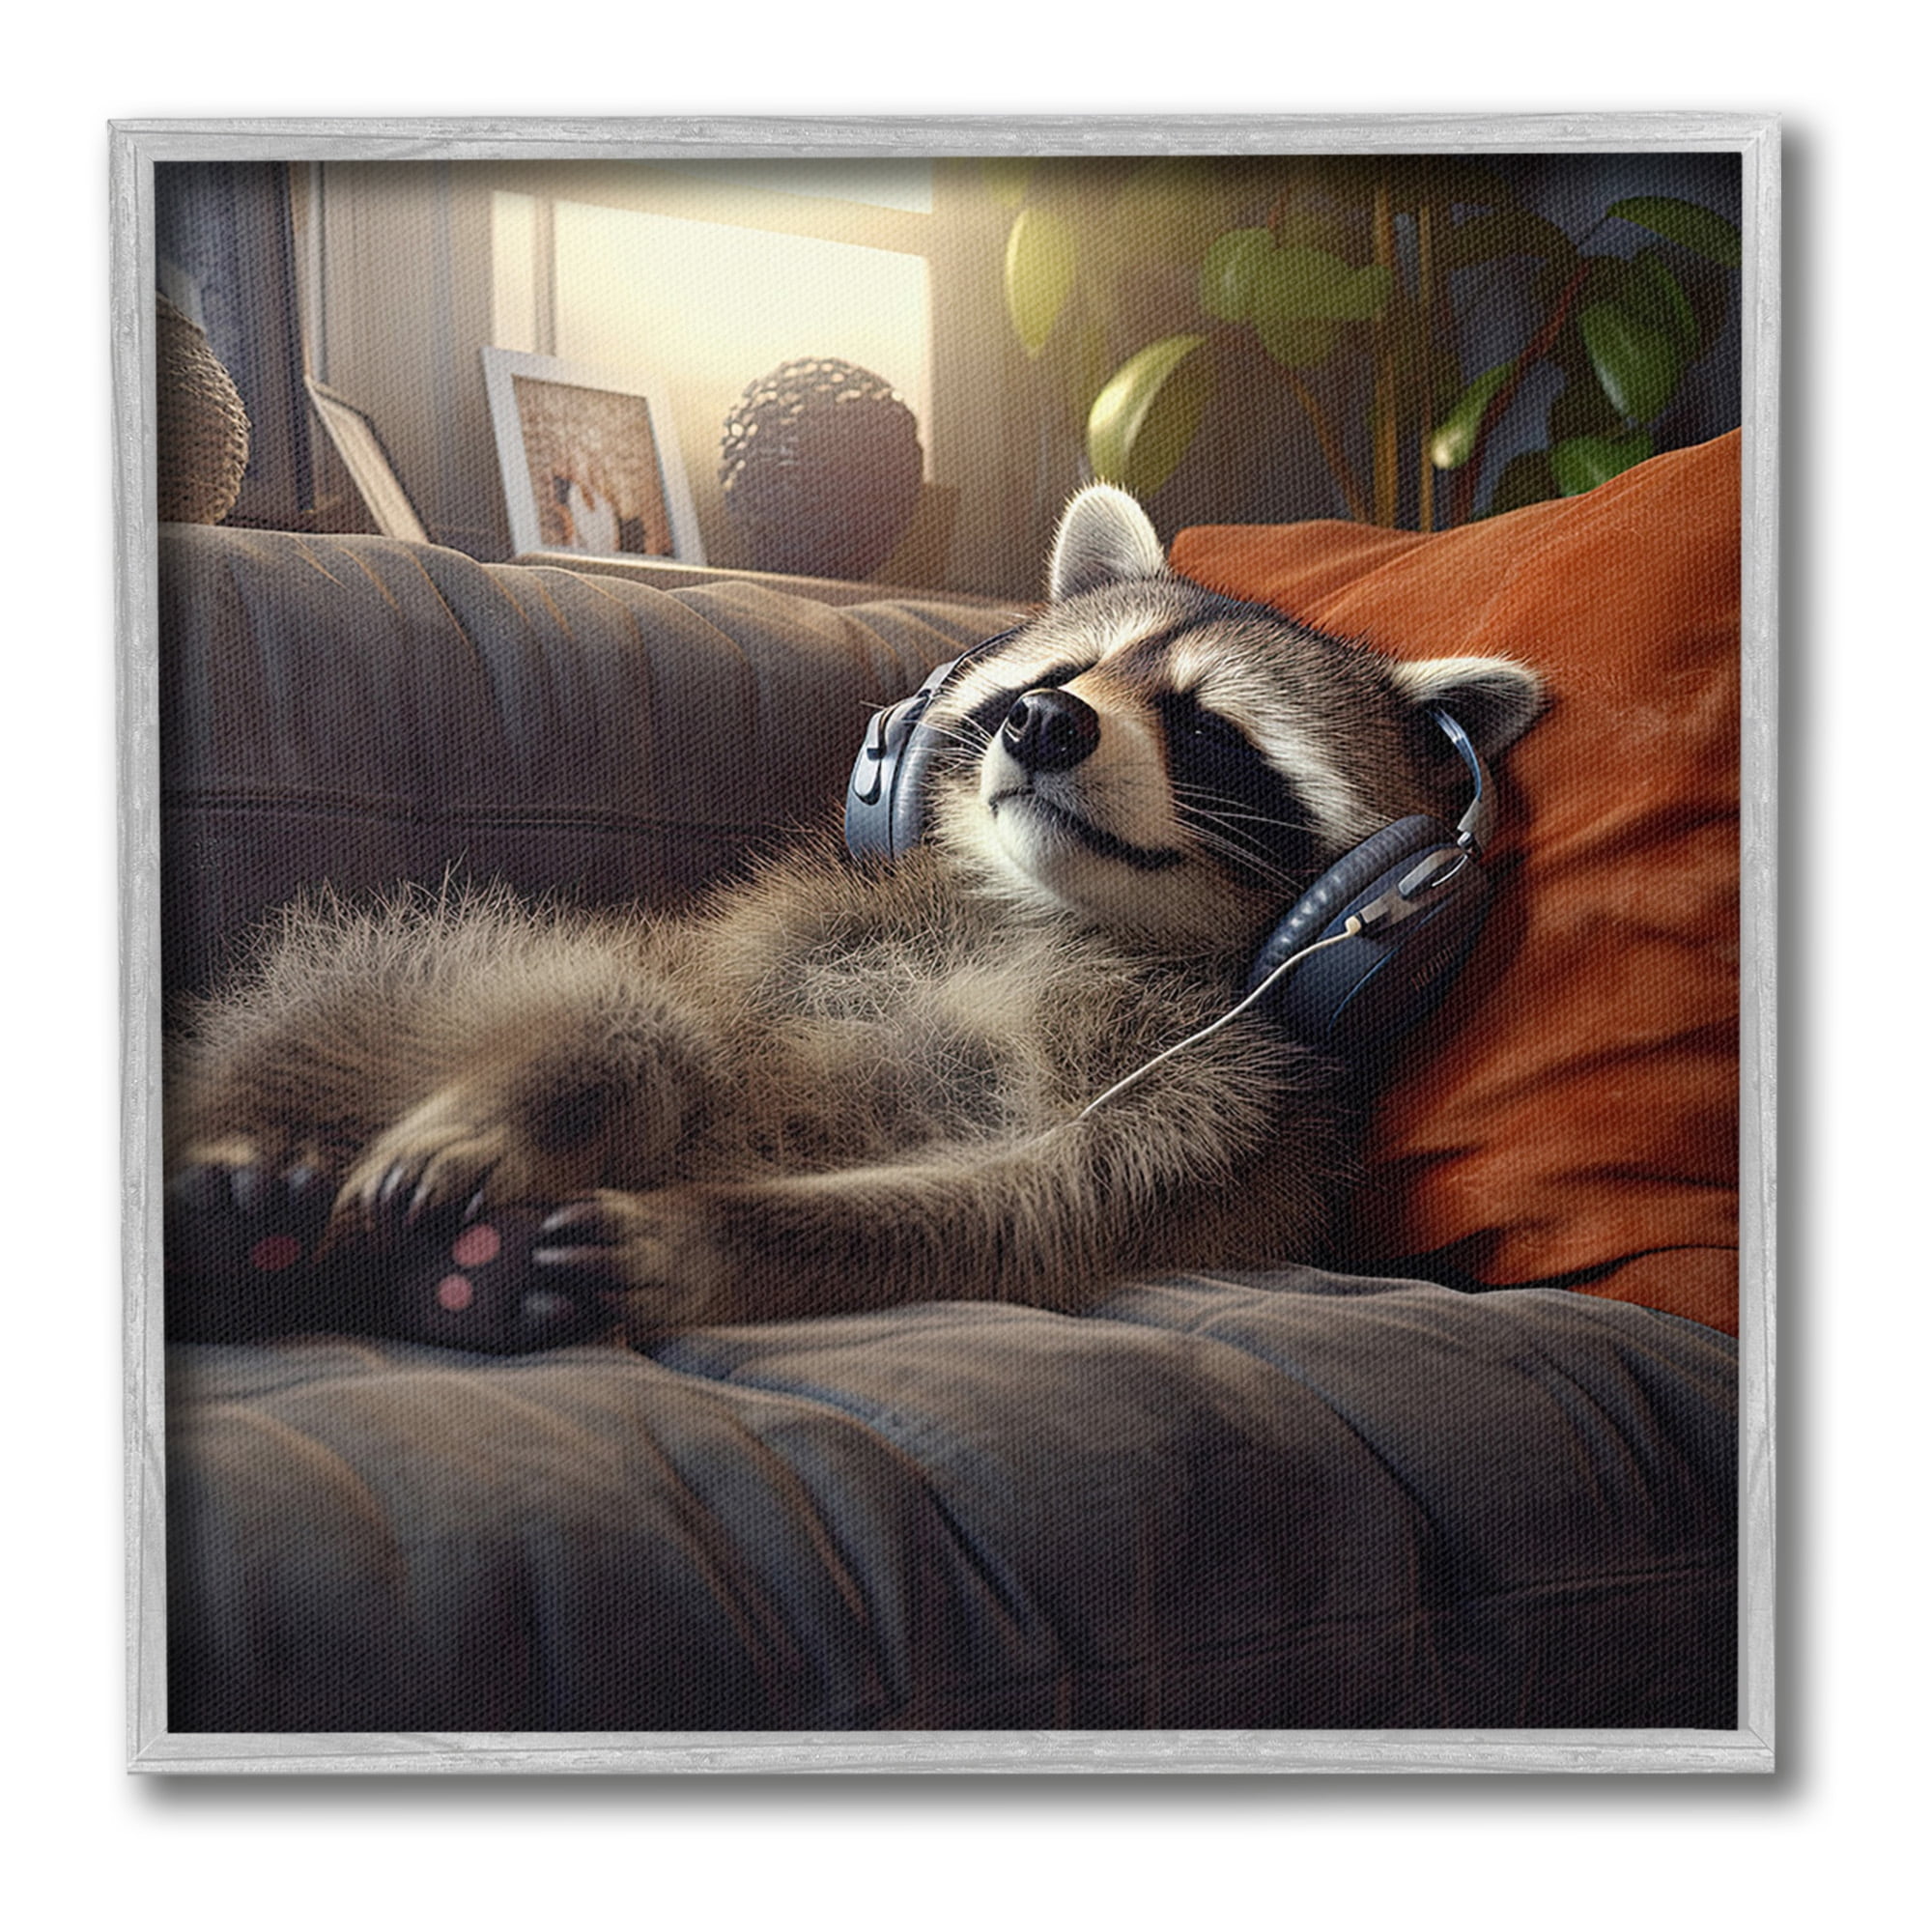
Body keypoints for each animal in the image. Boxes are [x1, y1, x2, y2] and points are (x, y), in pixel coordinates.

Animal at [163, 485, 1543, 1348]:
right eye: (1058, 677)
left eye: (1206, 728)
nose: (1045, 722)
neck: (1055, 913)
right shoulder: (790, 921)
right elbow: (650, 998)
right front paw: (542, 1099)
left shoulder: (1226, 1109)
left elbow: (1031, 1202)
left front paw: (720, 1234)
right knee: (448, 981)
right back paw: (256, 1160)